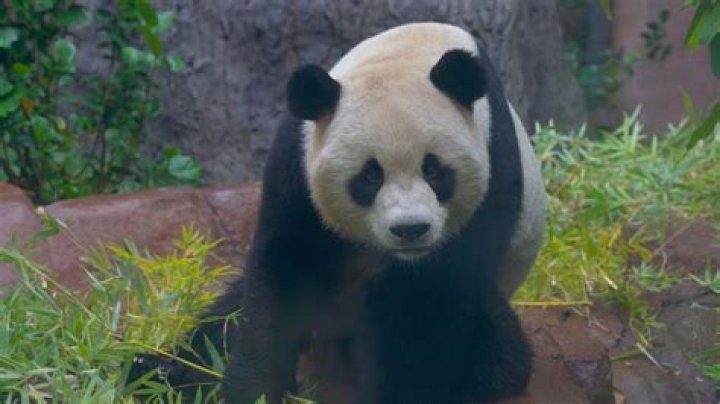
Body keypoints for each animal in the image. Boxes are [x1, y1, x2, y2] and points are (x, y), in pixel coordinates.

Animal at [130, 22, 545, 403]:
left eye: (434, 169)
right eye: (370, 175)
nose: (411, 229)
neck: (409, 49)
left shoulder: (492, 167)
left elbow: (431, 307)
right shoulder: (297, 165)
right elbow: (281, 276)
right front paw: (251, 390)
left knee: (497, 355)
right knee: (221, 321)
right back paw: (155, 372)